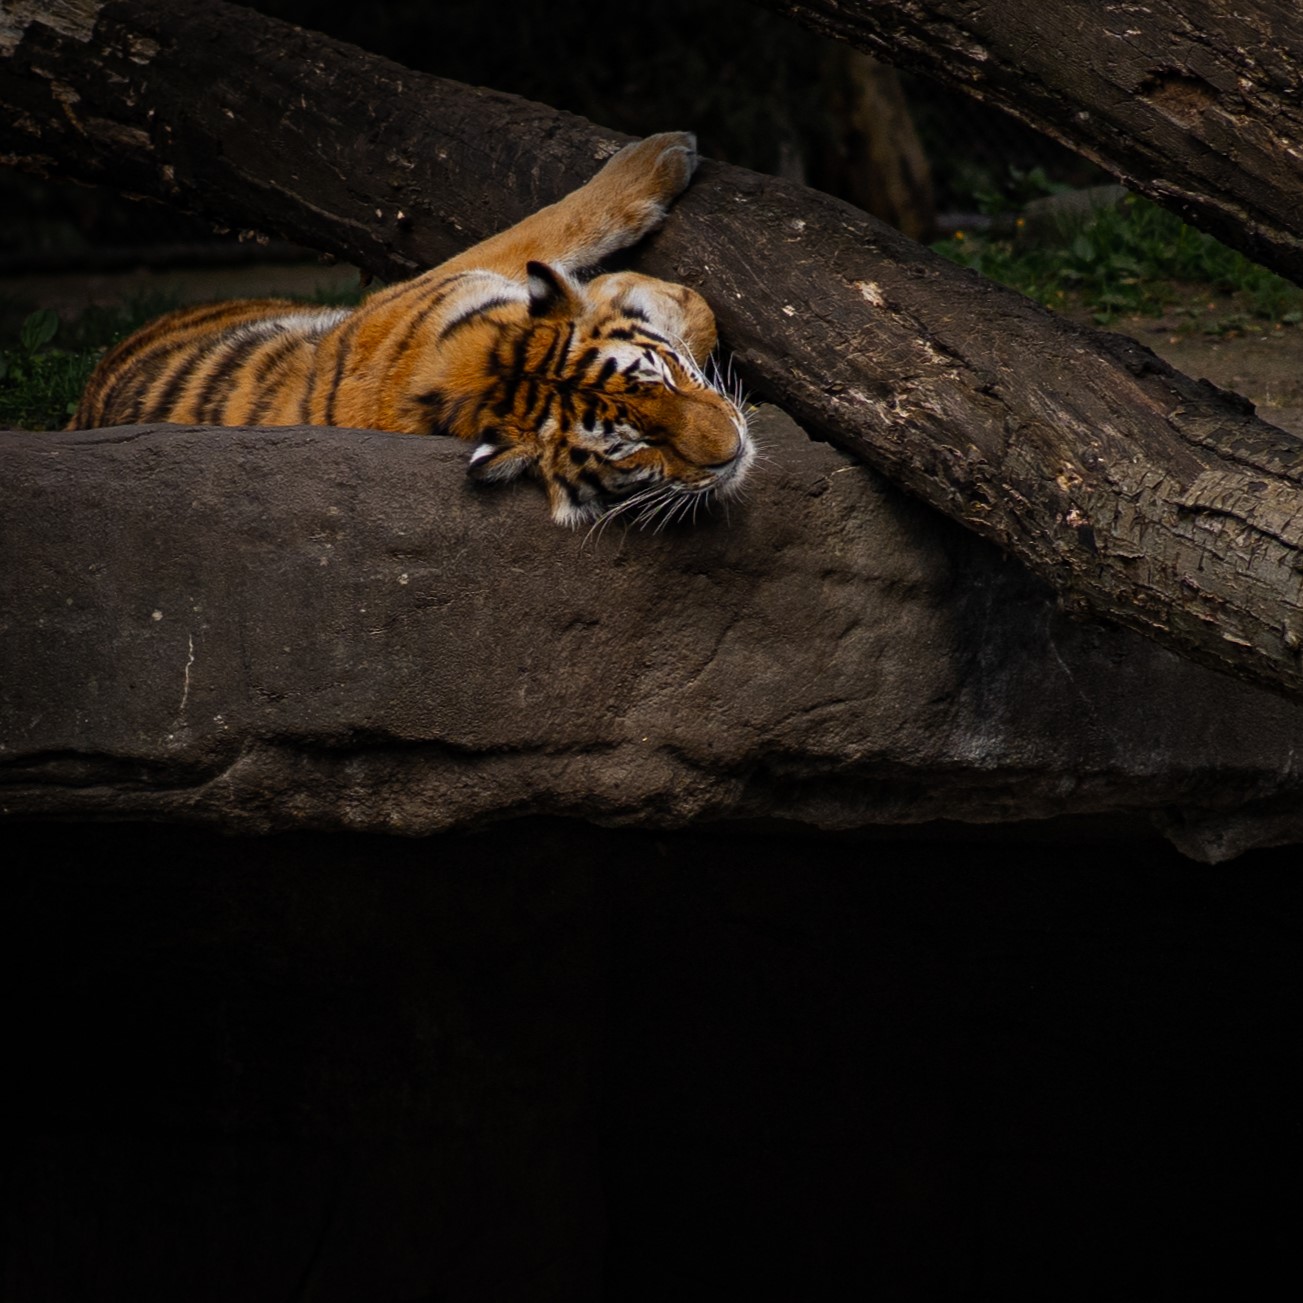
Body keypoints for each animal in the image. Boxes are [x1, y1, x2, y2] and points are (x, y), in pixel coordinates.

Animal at [71, 132, 753, 527]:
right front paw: (664, 160)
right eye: (635, 448)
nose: (735, 452)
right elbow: (555, 225)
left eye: (665, 380)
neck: (486, 365)